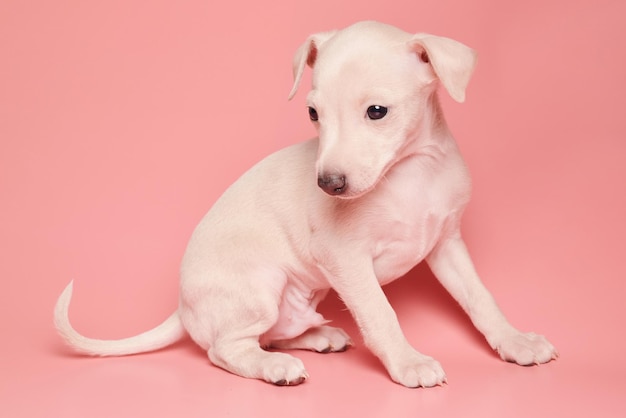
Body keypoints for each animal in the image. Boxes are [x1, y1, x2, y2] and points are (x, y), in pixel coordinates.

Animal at [54, 21, 556, 386]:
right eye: (313, 114)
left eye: (377, 112)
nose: (329, 184)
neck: (412, 173)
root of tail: (182, 306)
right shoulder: (345, 257)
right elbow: (381, 314)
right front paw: (408, 362)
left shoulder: (447, 244)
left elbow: (481, 298)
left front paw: (515, 341)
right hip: (260, 287)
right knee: (224, 348)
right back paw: (272, 368)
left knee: (272, 335)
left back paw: (317, 337)